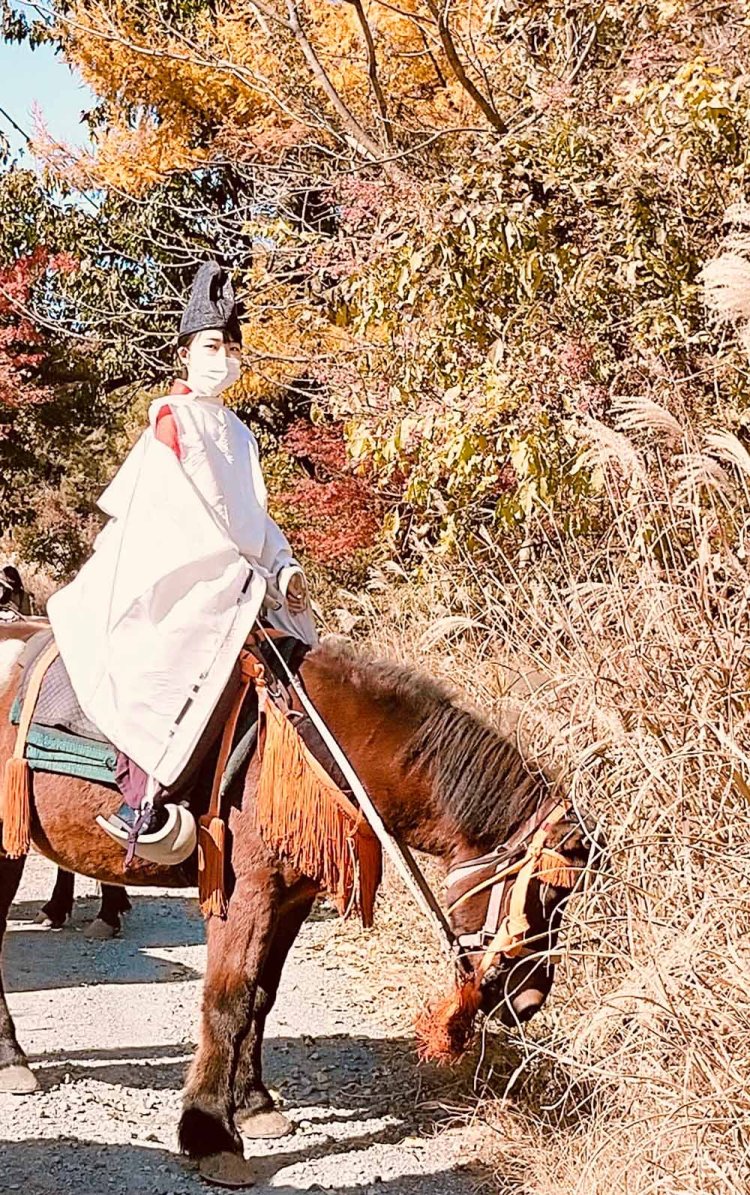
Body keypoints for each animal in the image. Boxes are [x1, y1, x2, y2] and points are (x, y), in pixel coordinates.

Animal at [0, 621, 590, 1186]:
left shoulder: (291, 901)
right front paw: (210, 1132)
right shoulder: (246, 894)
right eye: (549, 892)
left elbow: (261, 996)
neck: (317, 746)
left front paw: (254, 1103)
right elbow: (229, 999)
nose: (530, 1000)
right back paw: (12, 1058)